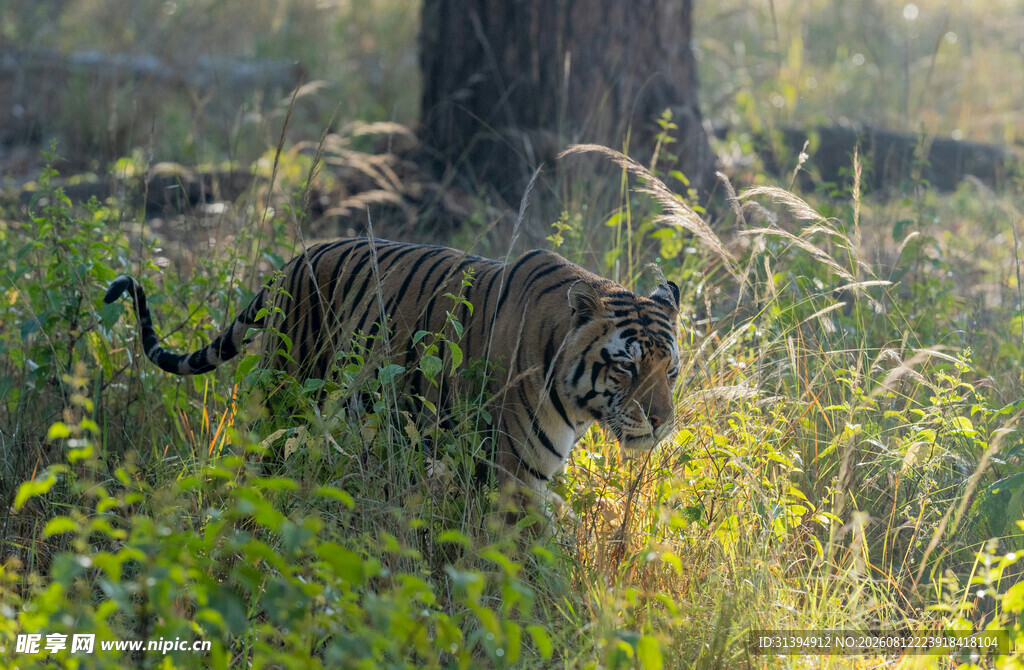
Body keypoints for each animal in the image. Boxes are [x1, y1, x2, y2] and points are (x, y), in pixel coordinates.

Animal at [104, 237, 681, 499]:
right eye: (626, 368)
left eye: (670, 372)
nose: (660, 422)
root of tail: (294, 259)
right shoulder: (515, 476)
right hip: (287, 392)